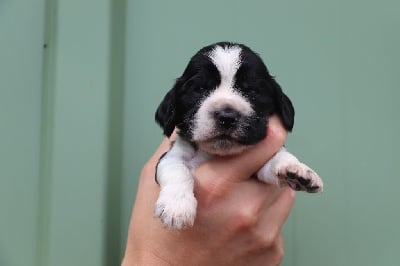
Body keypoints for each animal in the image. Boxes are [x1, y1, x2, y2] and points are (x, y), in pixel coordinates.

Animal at [155, 41, 324, 229]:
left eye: (252, 91)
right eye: (200, 89)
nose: (227, 116)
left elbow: (274, 160)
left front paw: (293, 167)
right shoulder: (171, 155)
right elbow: (176, 168)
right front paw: (177, 206)